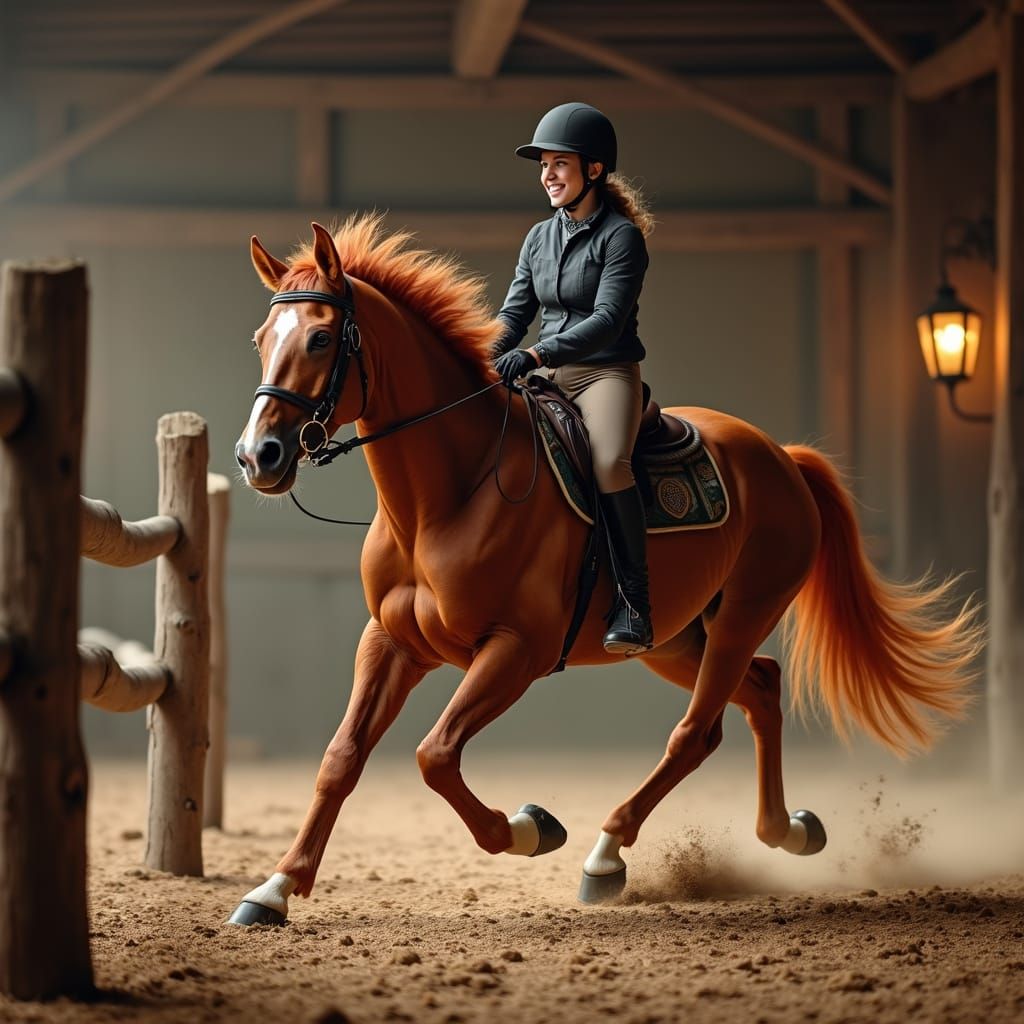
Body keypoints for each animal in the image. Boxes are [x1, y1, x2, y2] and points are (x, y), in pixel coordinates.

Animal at [229, 216, 981, 923]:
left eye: (321, 340)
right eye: (262, 337)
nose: (257, 456)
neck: (449, 496)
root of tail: (780, 456)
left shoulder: (515, 652)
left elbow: (436, 755)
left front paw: (532, 827)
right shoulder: (390, 643)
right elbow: (341, 759)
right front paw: (274, 890)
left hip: (744, 613)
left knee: (695, 732)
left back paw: (606, 855)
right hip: (674, 639)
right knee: (758, 692)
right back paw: (786, 831)